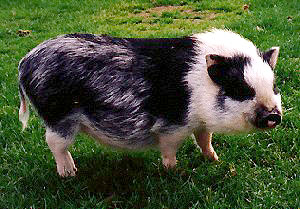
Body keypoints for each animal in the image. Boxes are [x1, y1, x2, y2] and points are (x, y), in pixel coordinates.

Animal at [18, 29, 282, 176]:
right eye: (241, 90)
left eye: (274, 87)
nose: (273, 115)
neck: (198, 88)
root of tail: (26, 62)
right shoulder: (172, 125)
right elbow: (169, 148)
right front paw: (174, 171)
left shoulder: (200, 123)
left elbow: (204, 139)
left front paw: (215, 160)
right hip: (58, 115)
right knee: (54, 143)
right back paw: (70, 174)